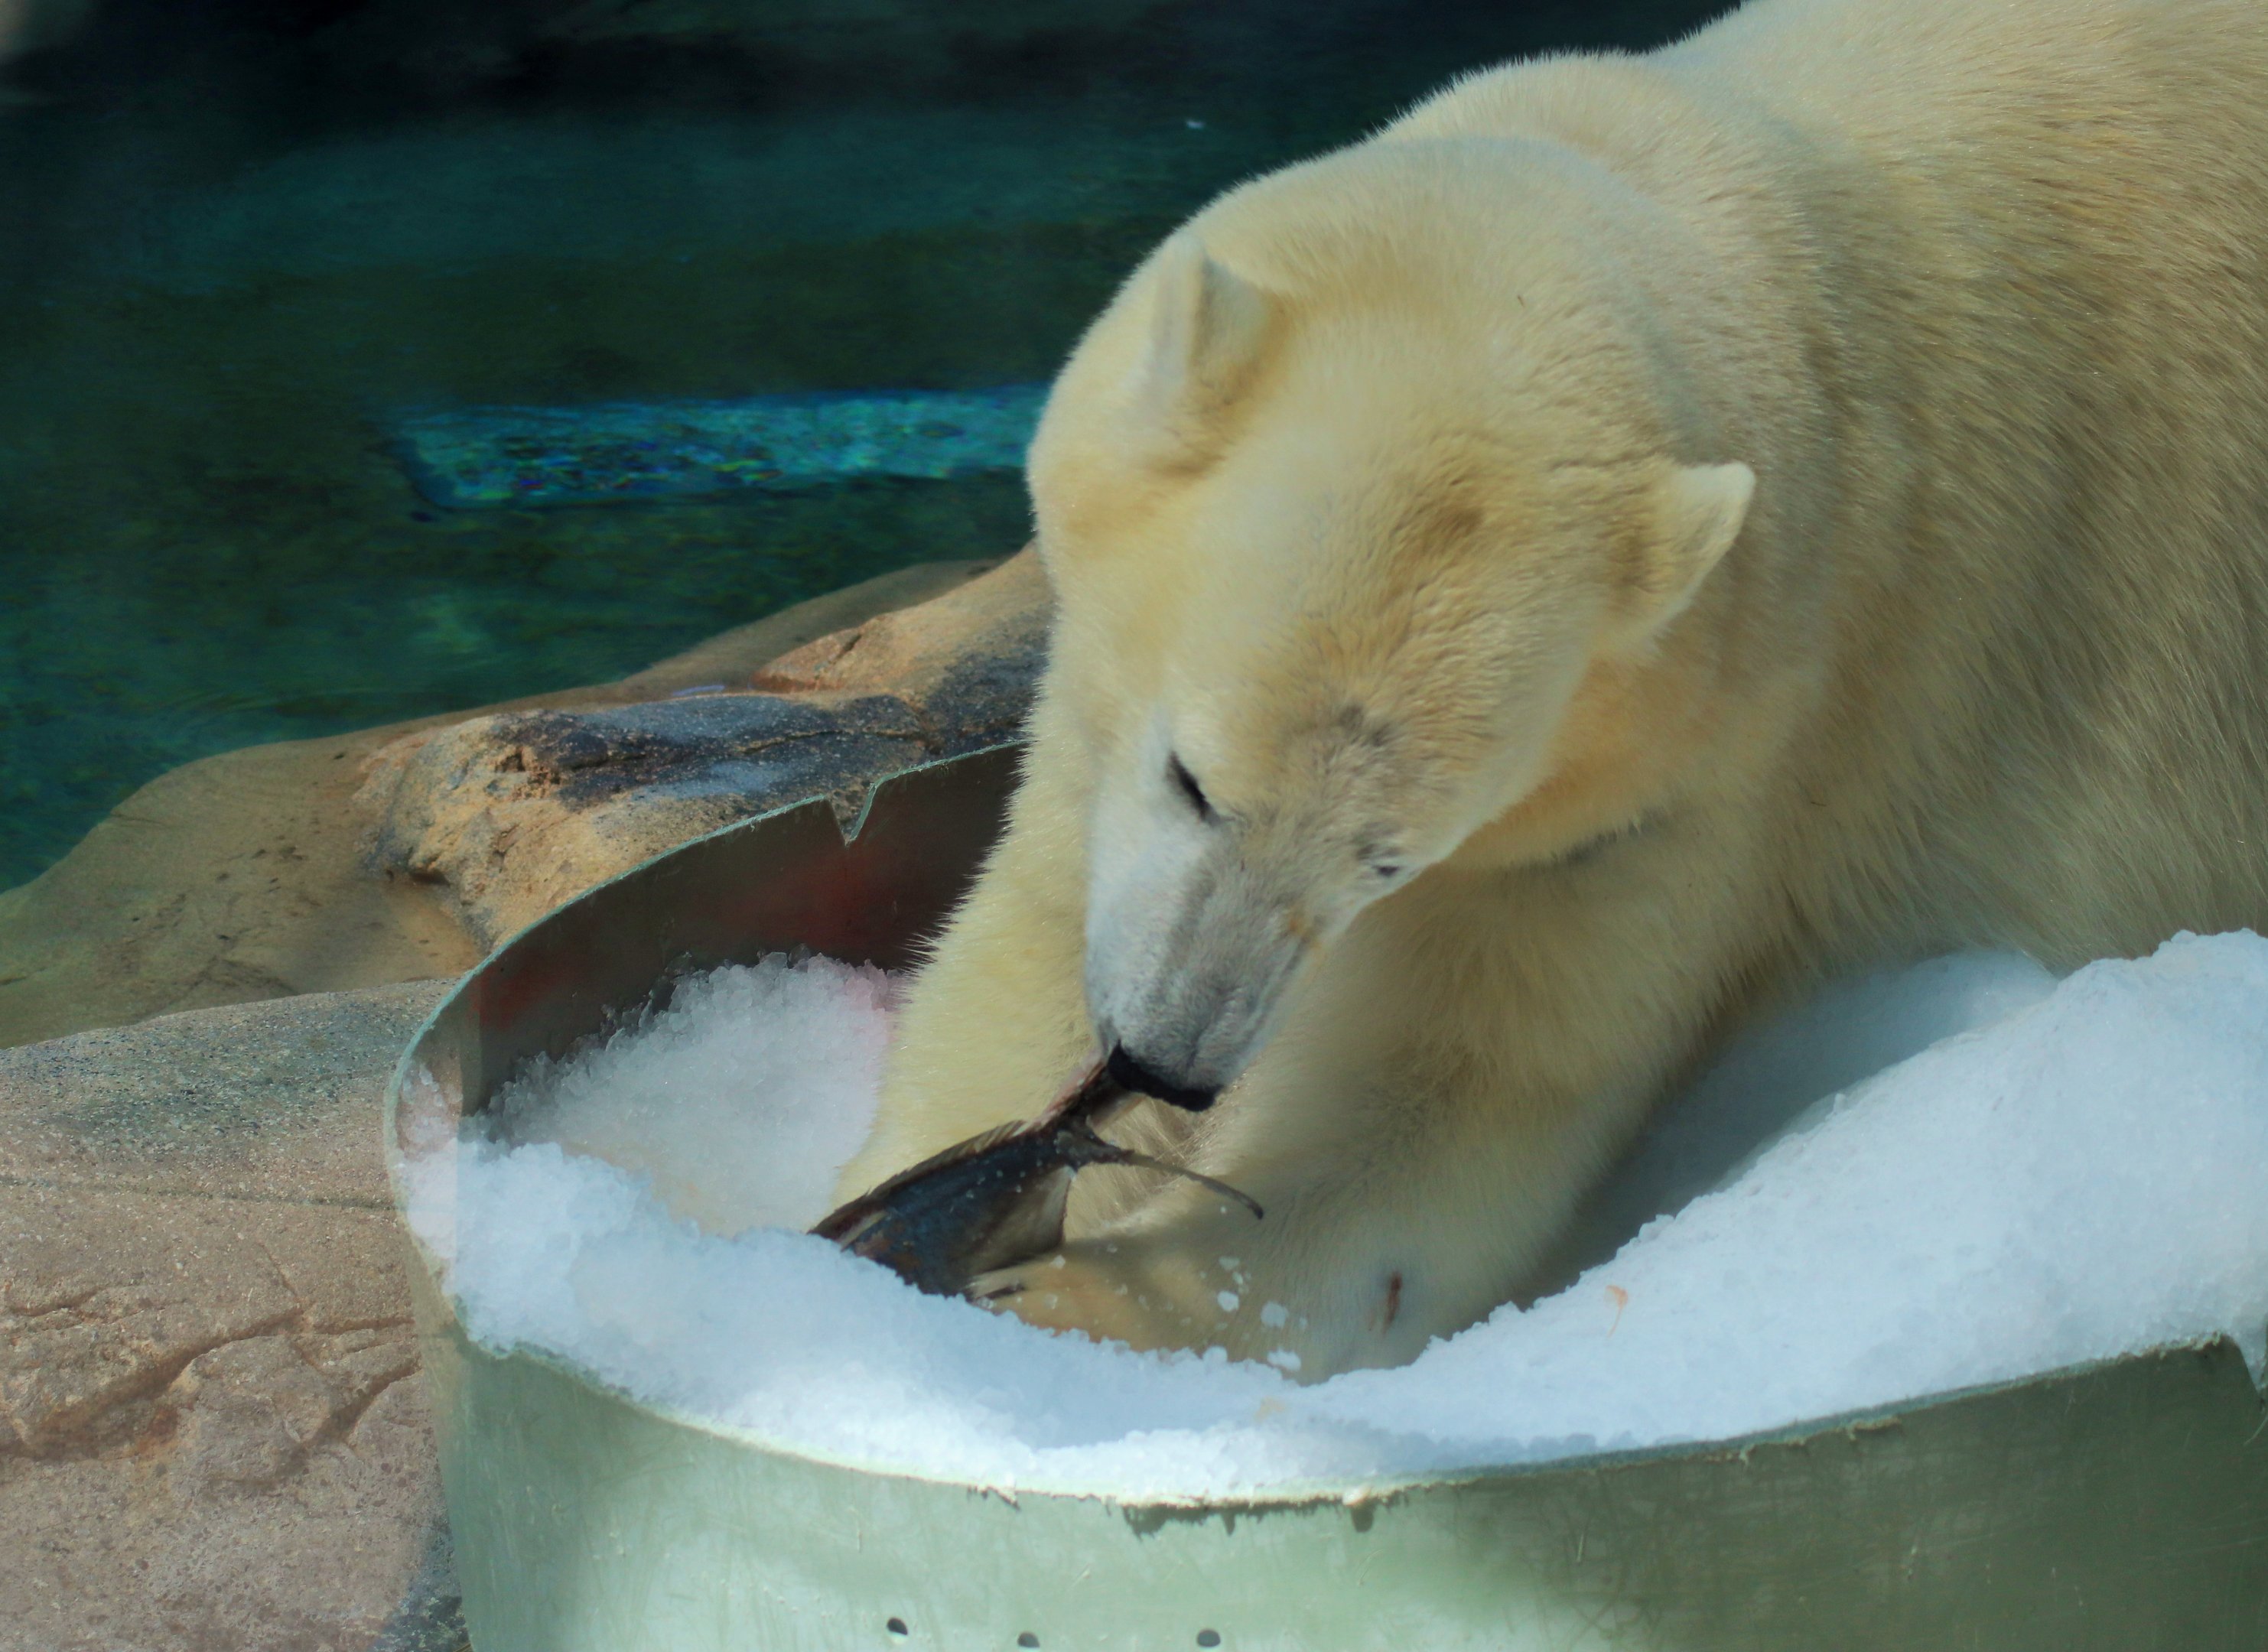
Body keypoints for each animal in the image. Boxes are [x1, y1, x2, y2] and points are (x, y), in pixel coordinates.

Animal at [833, 0, 2268, 1380]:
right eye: (1192, 779)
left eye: (1389, 861)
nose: (1166, 1062)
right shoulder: (1104, 705)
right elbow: (1028, 934)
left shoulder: (1707, 776)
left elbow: (1437, 1117)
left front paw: (1051, 1301)